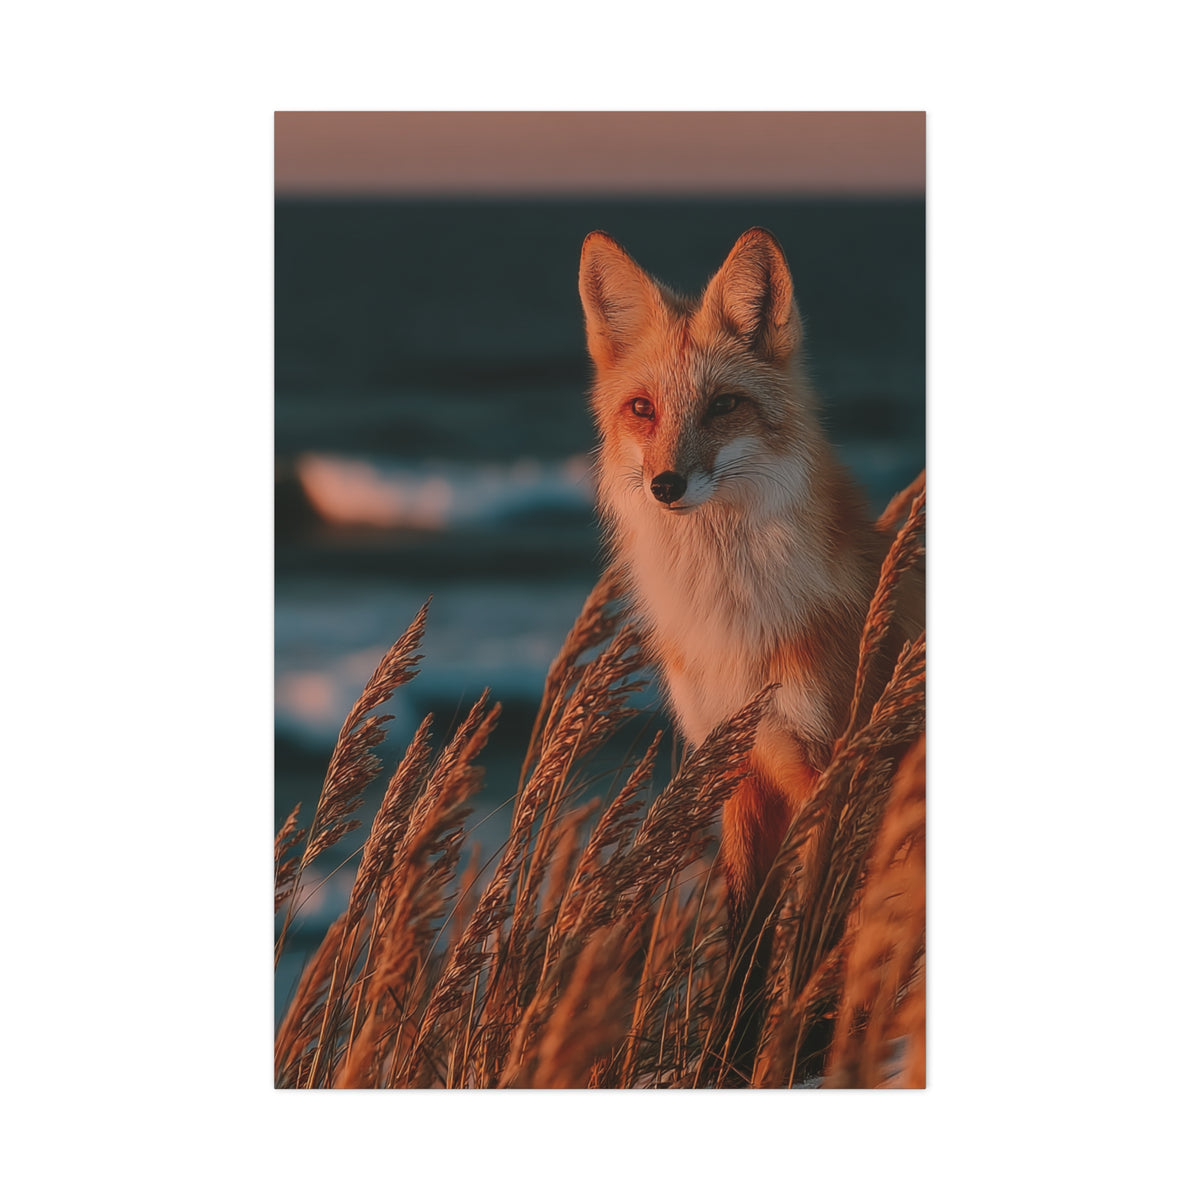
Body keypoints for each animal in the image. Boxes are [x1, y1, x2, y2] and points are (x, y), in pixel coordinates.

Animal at [578, 227, 923, 1077]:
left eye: (723, 405)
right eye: (643, 410)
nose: (667, 484)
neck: (738, 628)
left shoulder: (836, 772)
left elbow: (815, 948)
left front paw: (807, 1053)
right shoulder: (737, 769)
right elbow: (743, 955)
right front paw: (726, 1066)